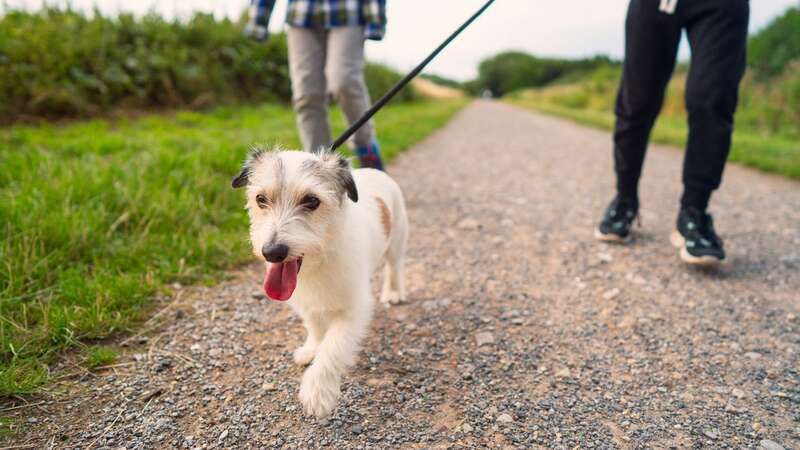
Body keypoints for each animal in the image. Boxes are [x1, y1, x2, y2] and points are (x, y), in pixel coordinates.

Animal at [230, 148, 406, 418]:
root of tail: (376, 171)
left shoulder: (353, 310)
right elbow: (313, 326)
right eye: (260, 199)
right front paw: (311, 349)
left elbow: (333, 347)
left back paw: (393, 292)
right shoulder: (304, 302)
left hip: (396, 243)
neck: (319, 259)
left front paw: (317, 391)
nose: (272, 252)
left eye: (312, 201)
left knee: (394, 267)